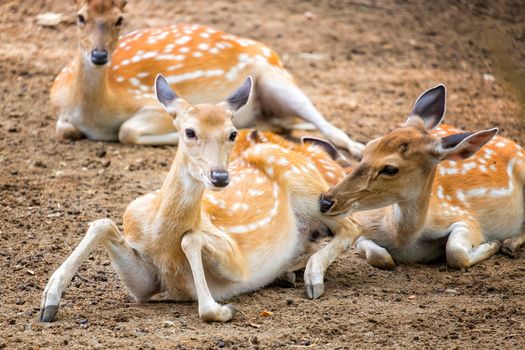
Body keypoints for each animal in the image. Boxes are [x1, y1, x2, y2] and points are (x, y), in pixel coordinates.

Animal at [40, 75, 360, 324]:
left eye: (232, 133)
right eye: (189, 131)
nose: (219, 176)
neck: (160, 240)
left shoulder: (237, 263)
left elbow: (191, 239)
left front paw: (221, 309)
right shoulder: (143, 285)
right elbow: (102, 223)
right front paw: (48, 302)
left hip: (313, 191)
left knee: (352, 228)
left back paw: (311, 278)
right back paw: (290, 272)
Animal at [53, 0, 364, 157]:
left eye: (119, 19)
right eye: (79, 17)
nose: (99, 55)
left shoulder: (153, 105)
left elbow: (126, 130)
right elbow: (64, 130)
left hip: (278, 82)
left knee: (331, 128)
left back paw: (360, 149)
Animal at [318, 83, 524, 270]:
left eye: (390, 169)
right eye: (368, 146)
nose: (326, 201)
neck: (403, 240)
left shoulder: (465, 218)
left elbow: (455, 252)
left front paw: (492, 243)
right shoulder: (362, 225)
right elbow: (381, 257)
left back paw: (510, 244)